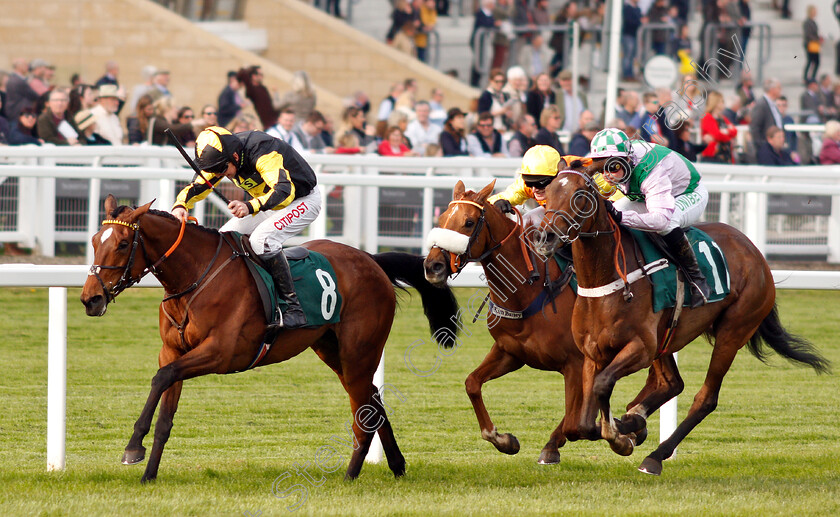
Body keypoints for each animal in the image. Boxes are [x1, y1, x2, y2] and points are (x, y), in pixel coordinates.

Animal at [80, 196, 460, 482]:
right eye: (95, 242)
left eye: (123, 244)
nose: (90, 299)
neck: (194, 278)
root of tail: (371, 258)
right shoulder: (172, 351)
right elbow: (165, 411)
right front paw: (148, 473)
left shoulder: (222, 353)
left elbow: (162, 378)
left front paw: (133, 447)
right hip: (332, 350)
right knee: (374, 400)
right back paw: (396, 465)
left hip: (359, 352)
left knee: (363, 413)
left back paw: (350, 475)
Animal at [424, 179, 648, 462]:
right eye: (442, 218)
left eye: (469, 222)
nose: (433, 267)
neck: (527, 292)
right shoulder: (510, 352)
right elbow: (472, 383)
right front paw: (503, 439)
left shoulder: (575, 363)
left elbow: (575, 423)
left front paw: (620, 432)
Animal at [536, 167, 832, 474]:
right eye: (549, 192)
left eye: (580, 196)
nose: (544, 237)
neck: (607, 282)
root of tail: (754, 251)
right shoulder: (593, 353)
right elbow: (580, 424)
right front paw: (623, 428)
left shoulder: (640, 348)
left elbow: (603, 385)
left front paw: (620, 437)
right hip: (668, 337)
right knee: (671, 384)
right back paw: (635, 420)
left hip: (733, 331)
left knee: (705, 399)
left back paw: (655, 455)